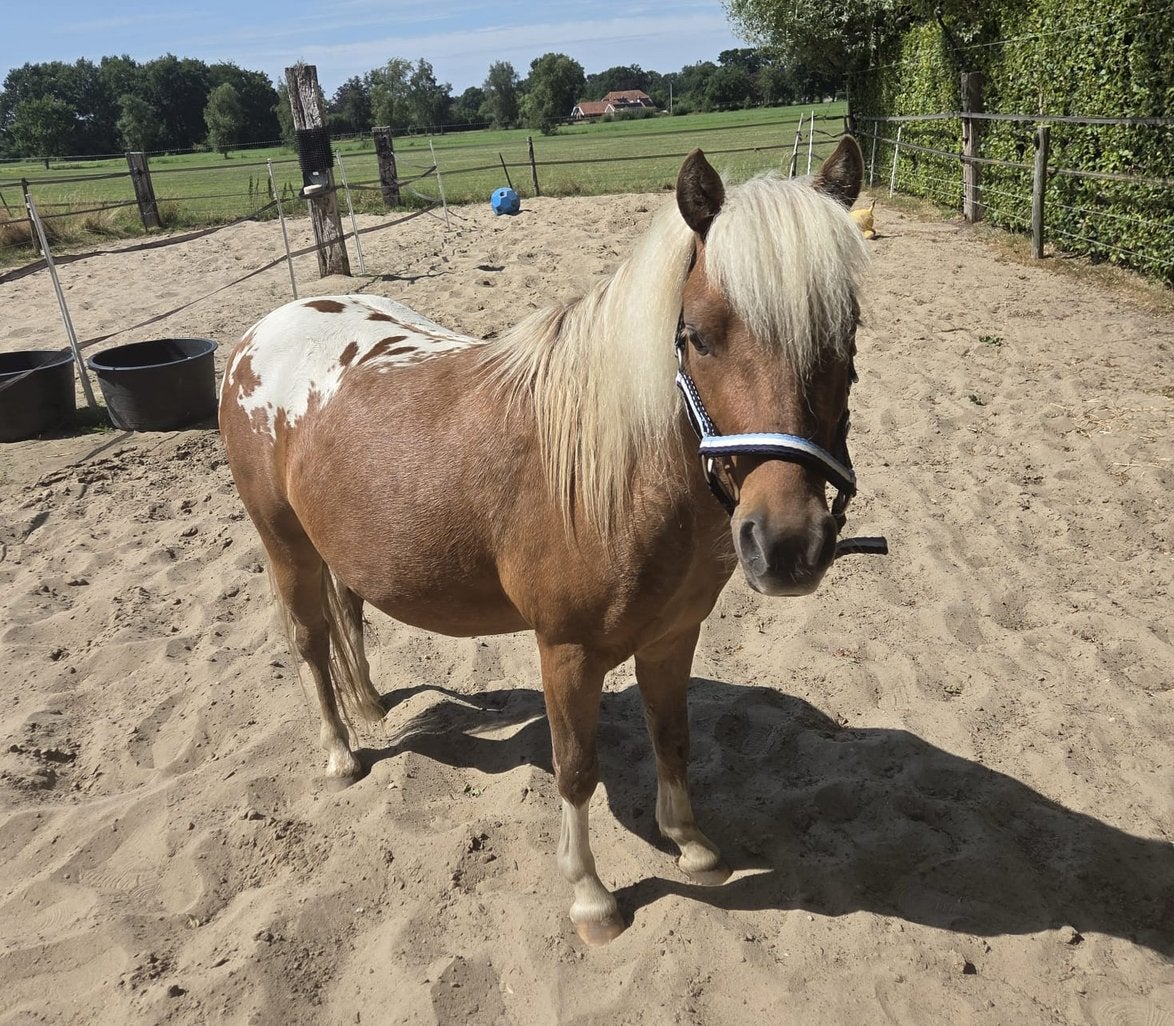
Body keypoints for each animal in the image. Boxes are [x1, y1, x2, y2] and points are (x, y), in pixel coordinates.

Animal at [218, 136, 875, 946]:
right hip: (286, 548)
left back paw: (370, 706)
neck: (618, 472)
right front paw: (592, 898)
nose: (786, 545)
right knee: (309, 640)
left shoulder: (673, 637)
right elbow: (575, 769)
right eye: (696, 336)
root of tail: (259, 334)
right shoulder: (565, 652)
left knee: (350, 615)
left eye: (846, 333)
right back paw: (342, 754)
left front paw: (691, 845)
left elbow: (673, 737)